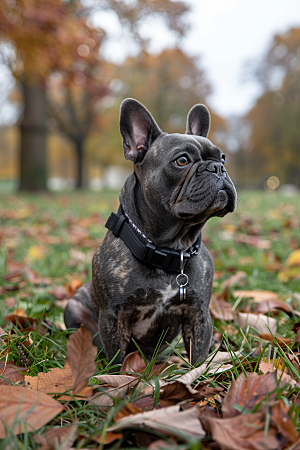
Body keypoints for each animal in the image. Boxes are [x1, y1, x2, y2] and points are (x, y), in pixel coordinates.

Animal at [63, 98, 237, 366]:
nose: (217, 168)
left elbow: (197, 355)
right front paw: (117, 376)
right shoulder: (113, 317)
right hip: (72, 309)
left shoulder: (198, 313)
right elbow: (117, 358)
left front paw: (197, 374)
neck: (170, 249)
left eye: (223, 158)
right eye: (182, 160)